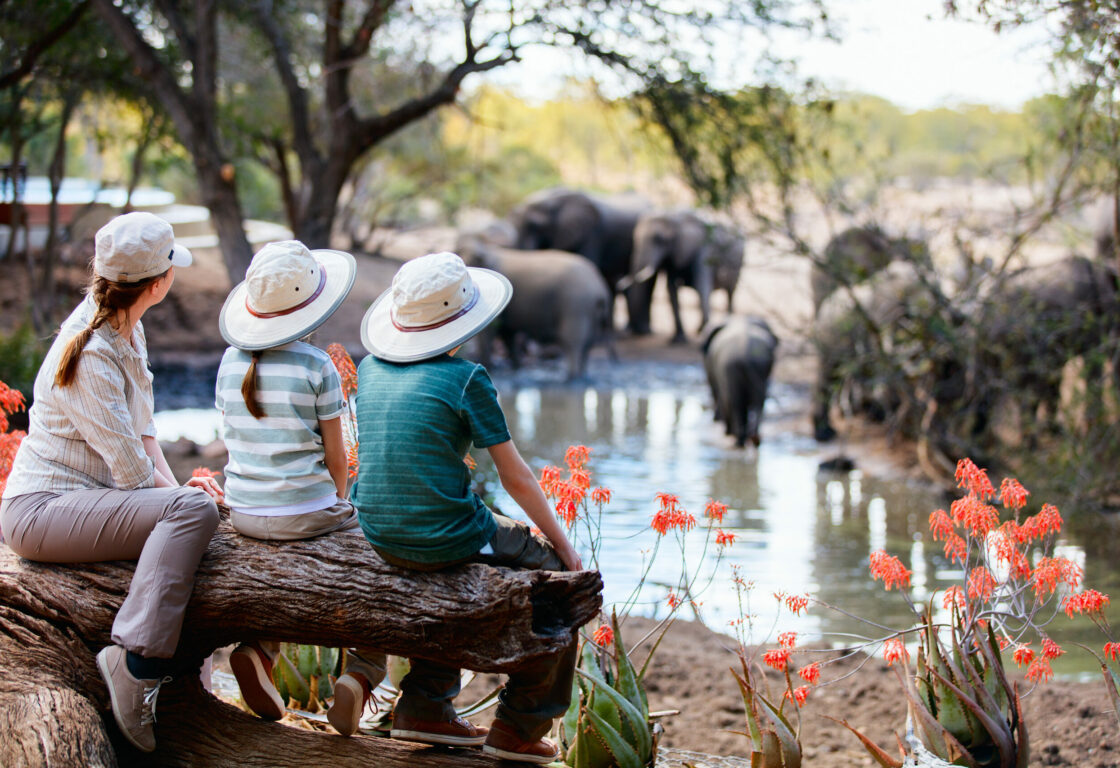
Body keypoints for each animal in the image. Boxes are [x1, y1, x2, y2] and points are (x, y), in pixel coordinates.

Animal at [456, 235, 614, 381]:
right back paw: (582, 376)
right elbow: (508, 334)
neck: (486, 249)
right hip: (589, 310)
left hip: (576, 304)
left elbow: (491, 333)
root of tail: (600, 289)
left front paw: (492, 368)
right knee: (588, 343)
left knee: (572, 342)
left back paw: (571, 379)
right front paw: (516, 368)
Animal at [619, 210, 745, 343]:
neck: (674, 217)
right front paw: (679, 339)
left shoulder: (704, 249)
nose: (620, 282)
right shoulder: (674, 256)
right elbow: (671, 290)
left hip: (738, 263)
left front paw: (705, 333)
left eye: (659, 239)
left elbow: (702, 286)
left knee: (730, 292)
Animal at [701, 315, 778, 448]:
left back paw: (739, 440)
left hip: (731, 366)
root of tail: (746, 355)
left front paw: (726, 431)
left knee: (735, 401)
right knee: (758, 402)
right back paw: (753, 440)